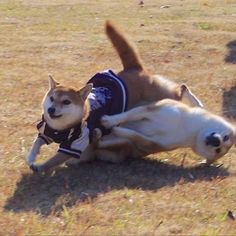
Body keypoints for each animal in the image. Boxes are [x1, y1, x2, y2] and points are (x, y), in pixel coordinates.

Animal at [26, 20, 203, 173]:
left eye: (66, 102)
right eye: (51, 98)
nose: (51, 110)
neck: (61, 129)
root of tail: (134, 69)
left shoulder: (72, 146)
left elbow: (53, 160)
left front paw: (39, 167)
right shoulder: (46, 132)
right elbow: (36, 143)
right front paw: (31, 157)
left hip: (163, 96)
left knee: (181, 88)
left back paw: (198, 105)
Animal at [98, 98, 236, 165]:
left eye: (218, 150)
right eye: (226, 137)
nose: (217, 142)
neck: (190, 128)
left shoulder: (154, 143)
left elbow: (135, 136)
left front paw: (119, 129)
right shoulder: (152, 110)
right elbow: (127, 115)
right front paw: (109, 121)